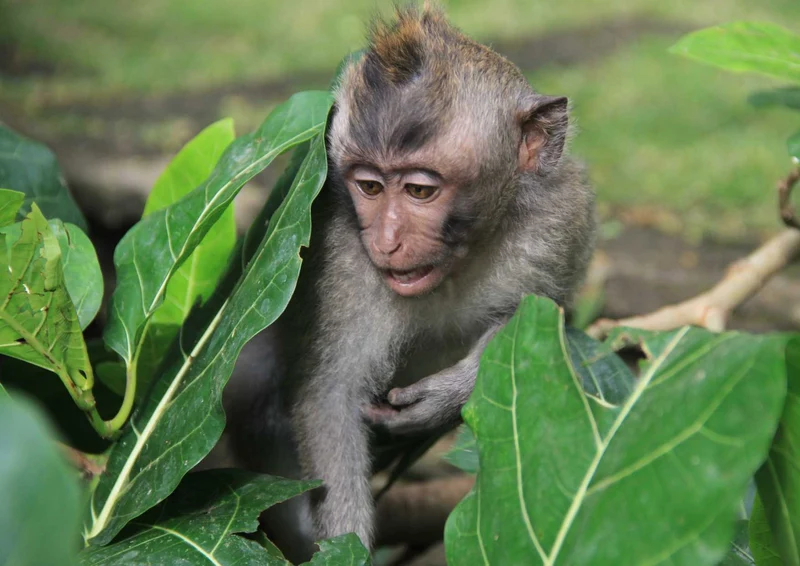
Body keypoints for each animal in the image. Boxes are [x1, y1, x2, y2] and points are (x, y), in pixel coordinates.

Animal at [221, 4, 595, 561]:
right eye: (370, 187)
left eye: (420, 190)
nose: (386, 239)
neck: (460, 261)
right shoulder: (340, 255)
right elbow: (329, 396)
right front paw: (345, 547)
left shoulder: (563, 218)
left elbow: (543, 323)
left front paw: (452, 393)